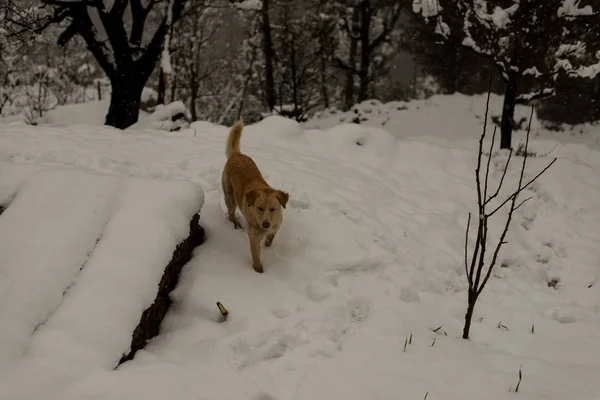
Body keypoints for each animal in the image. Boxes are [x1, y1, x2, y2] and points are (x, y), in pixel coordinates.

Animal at [221, 120, 290, 274]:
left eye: (273, 209)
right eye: (259, 208)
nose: (265, 224)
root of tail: (236, 155)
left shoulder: (276, 225)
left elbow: (271, 236)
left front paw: (268, 244)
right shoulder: (253, 239)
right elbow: (257, 259)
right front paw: (258, 272)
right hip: (230, 198)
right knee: (230, 213)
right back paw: (235, 224)